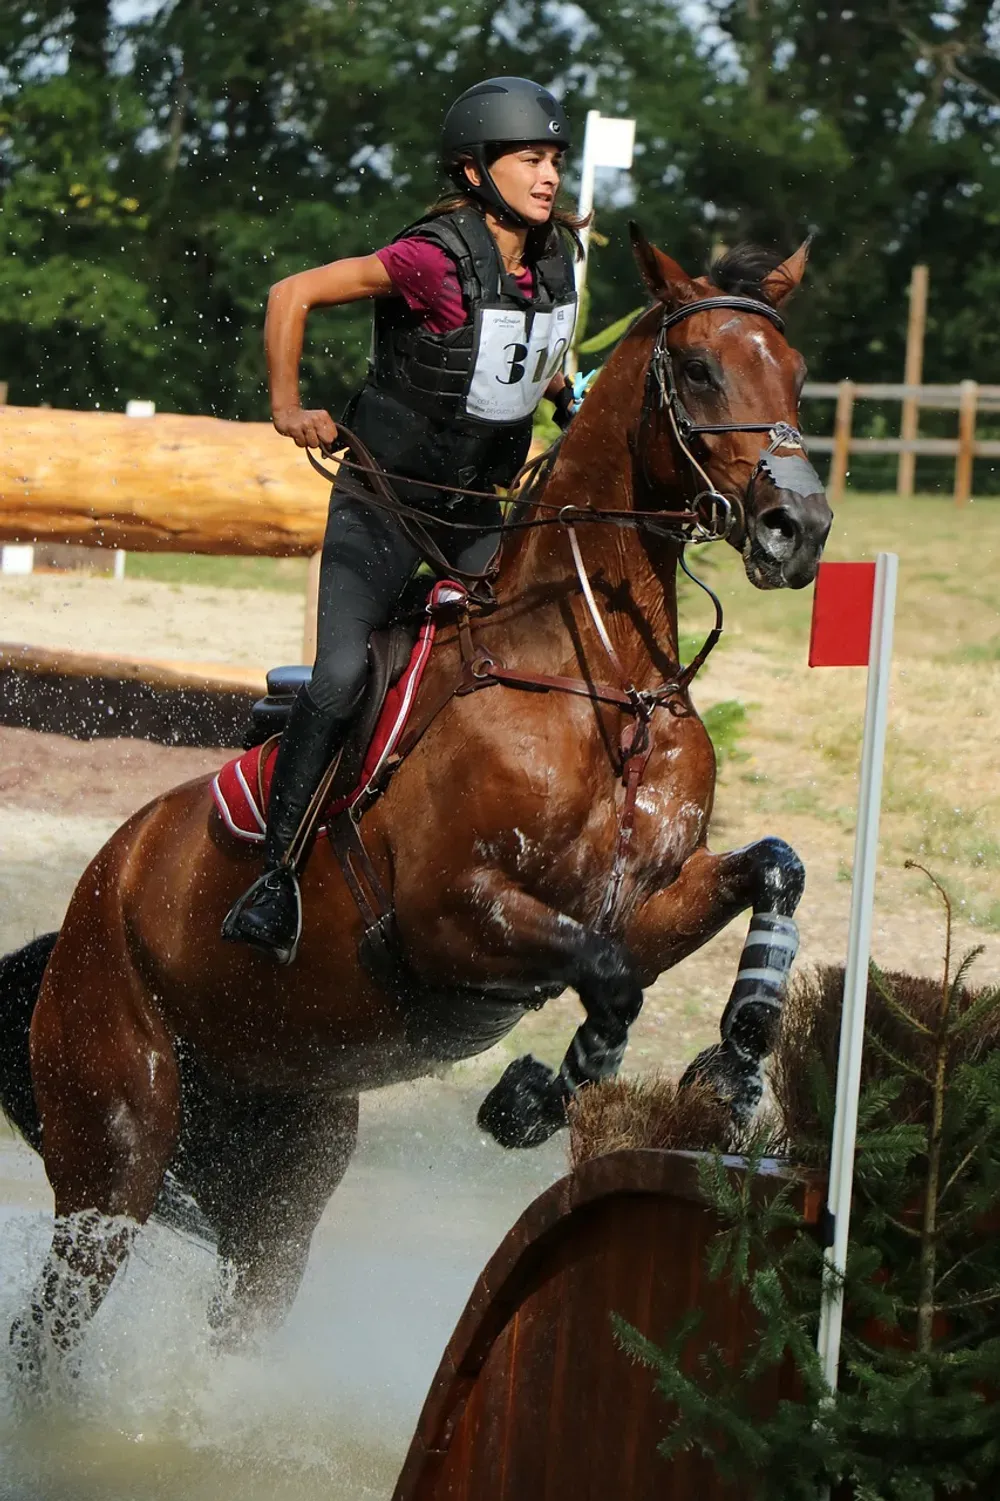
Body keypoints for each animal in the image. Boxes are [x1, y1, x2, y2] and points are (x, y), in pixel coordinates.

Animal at [0, 228, 822, 1386]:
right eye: (700, 369)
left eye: (795, 374)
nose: (801, 528)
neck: (598, 673)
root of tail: (89, 898)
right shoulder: (446, 916)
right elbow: (609, 979)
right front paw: (536, 1095)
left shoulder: (645, 898)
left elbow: (769, 869)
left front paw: (738, 1056)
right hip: (115, 1141)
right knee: (53, 1323)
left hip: (278, 1167)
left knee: (244, 1297)